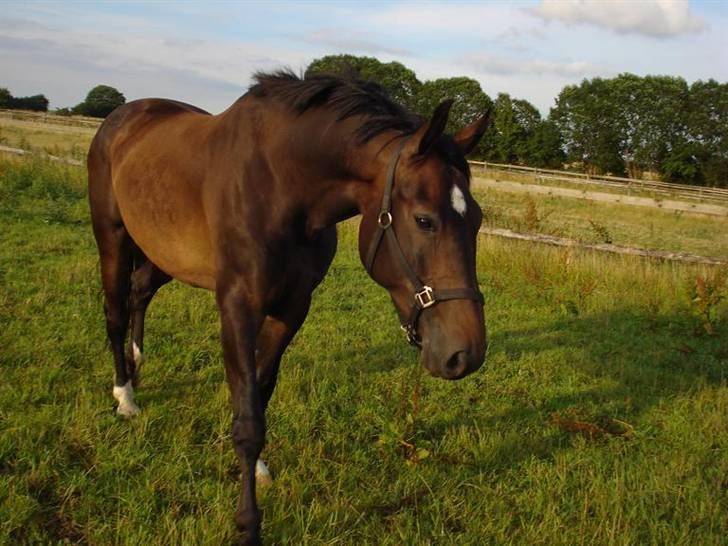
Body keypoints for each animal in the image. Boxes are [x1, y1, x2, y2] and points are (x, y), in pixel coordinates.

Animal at [88, 70, 492, 540]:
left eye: (477, 219)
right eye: (424, 220)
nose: (465, 354)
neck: (280, 185)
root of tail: (123, 115)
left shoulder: (292, 308)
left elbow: (260, 394)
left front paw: (258, 470)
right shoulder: (237, 306)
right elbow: (248, 418)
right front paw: (248, 524)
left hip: (162, 253)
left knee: (139, 293)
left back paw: (137, 365)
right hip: (112, 238)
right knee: (115, 312)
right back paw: (125, 395)